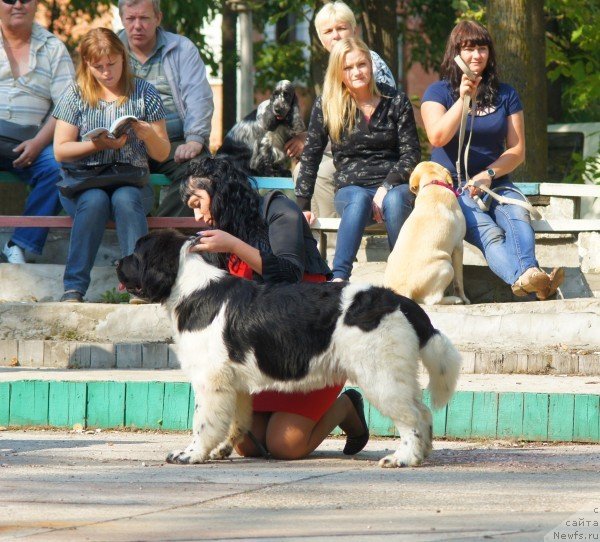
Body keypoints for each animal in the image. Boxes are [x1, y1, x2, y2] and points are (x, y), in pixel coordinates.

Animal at [118, 232, 464, 470]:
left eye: (135, 253)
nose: (117, 262)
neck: (191, 289)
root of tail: (396, 299)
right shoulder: (233, 383)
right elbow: (235, 421)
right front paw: (220, 450)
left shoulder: (209, 380)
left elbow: (203, 422)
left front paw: (190, 454)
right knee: (423, 412)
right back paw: (421, 454)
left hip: (381, 376)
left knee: (412, 417)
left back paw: (403, 458)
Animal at [384, 162, 468, 306]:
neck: (433, 184)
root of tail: (405, 290)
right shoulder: (458, 246)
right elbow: (459, 281)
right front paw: (464, 299)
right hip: (447, 266)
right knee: (432, 300)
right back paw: (454, 300)